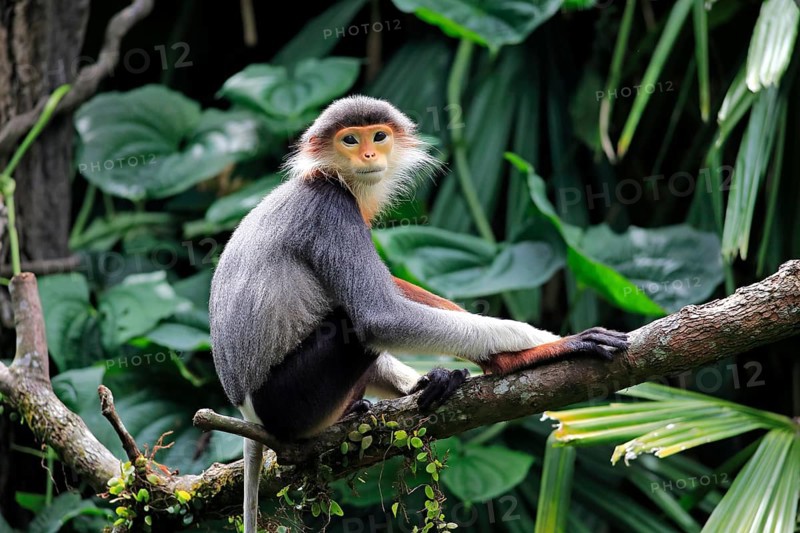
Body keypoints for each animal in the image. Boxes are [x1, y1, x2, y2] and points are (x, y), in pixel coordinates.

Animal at [208, 95, 628, 532]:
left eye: (378, 136)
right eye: (350, 140)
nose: (370, 154)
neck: (328, 177)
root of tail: (246, 411)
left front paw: (447, 374)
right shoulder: (331, 209)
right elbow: (378, 317)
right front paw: (546, 344)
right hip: (290, 402)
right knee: (352, 325)